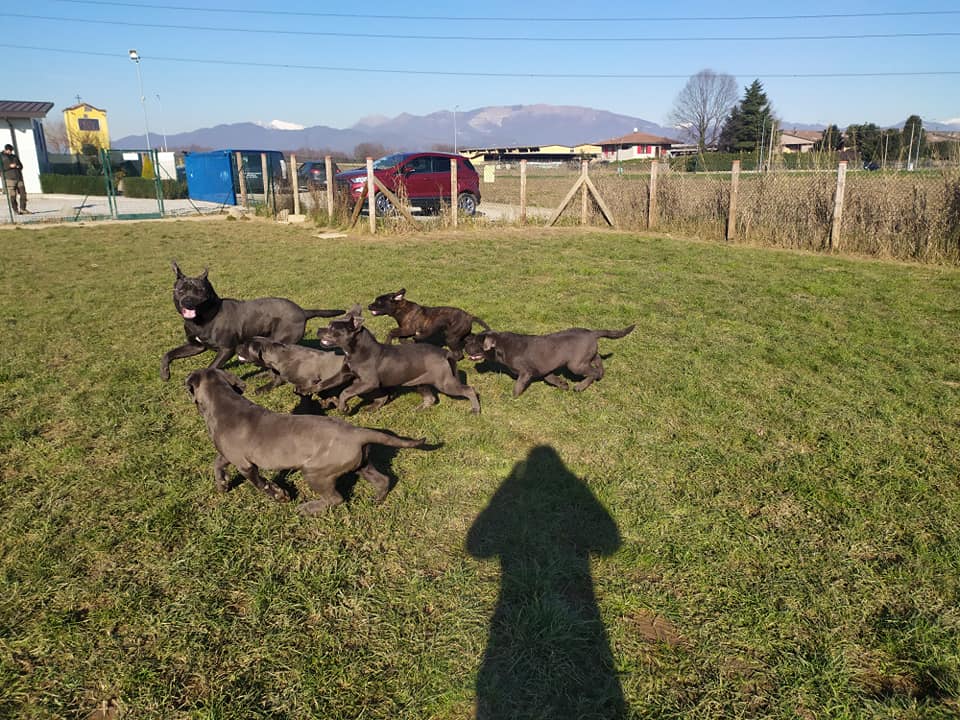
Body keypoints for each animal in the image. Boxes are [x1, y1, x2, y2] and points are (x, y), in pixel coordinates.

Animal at [160, 261, 344, 381]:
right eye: (181, 290)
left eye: (200, 290)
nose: (188, 301)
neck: (204, 317)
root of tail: (303, 311)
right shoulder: (196, 346)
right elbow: (168, 354)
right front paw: (164, 373)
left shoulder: (226, 349)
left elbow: (211, 366)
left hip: (279, 340)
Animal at [185, 368, 428, 514]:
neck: (223, 402)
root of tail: (358, 432)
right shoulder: (230, 455)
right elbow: (217, 463)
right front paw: (222, 485)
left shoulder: (245, 465)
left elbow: (261, 484)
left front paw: (280, 496)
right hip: (361, 463)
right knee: (382, 480)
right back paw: (376, 500)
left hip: (316, 472)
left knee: (336, 498)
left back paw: (307, 508)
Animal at [317, 307, 481, 414]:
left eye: (332, 328)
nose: (319, 329)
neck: (356, 350)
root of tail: (445, 352)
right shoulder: (344, 375)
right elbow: (326, 383)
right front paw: (314, 390)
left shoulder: (368, 382)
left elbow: (345, 392)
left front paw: (343, 408)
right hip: (421, 382)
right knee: (430, 398)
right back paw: (417, 410)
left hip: (445, 382)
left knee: (469, 390)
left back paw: (475, 410)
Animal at [463, 324, 635, 397]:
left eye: (476, 344)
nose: (465, 346)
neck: (501, 345)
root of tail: (593, 333)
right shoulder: (544, 369)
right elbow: (551, 378)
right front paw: (563, 384)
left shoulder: (525, 373)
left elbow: (518, 385)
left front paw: (511, 397)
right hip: (586, 357)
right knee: (598, 360)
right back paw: (600, 373)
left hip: (575, 365)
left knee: (592, 372)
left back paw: (580, 386)